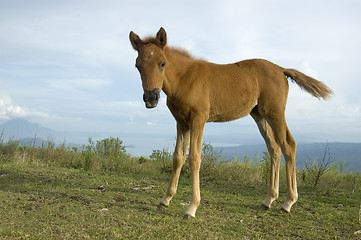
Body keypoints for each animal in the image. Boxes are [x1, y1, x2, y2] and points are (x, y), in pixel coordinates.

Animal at [129, 27, 332, 218]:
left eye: (162, 63)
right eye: (137, 66)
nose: (151, 98)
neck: (184, 79)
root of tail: (281, 69)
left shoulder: (198, 119)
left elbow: (194, 158)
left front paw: (192, 207)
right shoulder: (181, 122)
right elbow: (178, 157)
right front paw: (166, 199)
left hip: (275, 113)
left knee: (288, 145)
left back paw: (288, 202)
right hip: (260, 115)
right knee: (274, 148)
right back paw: (268, 200)